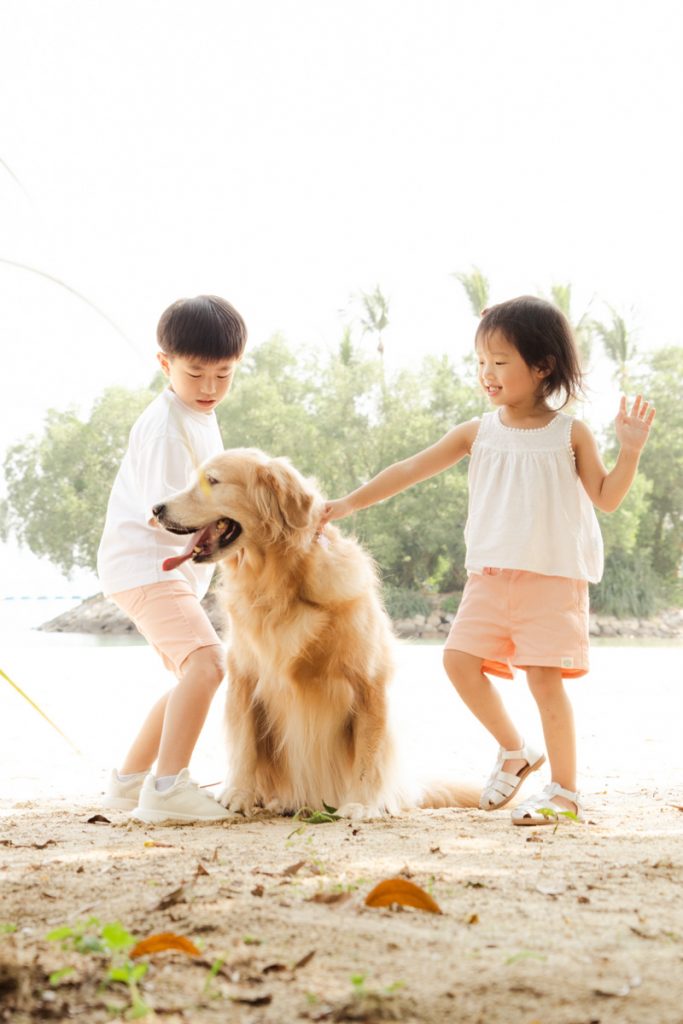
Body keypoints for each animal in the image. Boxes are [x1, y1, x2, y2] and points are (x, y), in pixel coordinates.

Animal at [152, 452, 479, 819]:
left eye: (212, 481)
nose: (156, 509)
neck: (278, 585)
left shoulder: (367, 683)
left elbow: (368, 751)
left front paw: (361, 804)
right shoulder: (244, 678)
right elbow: (244, 744)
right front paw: (238, 793)